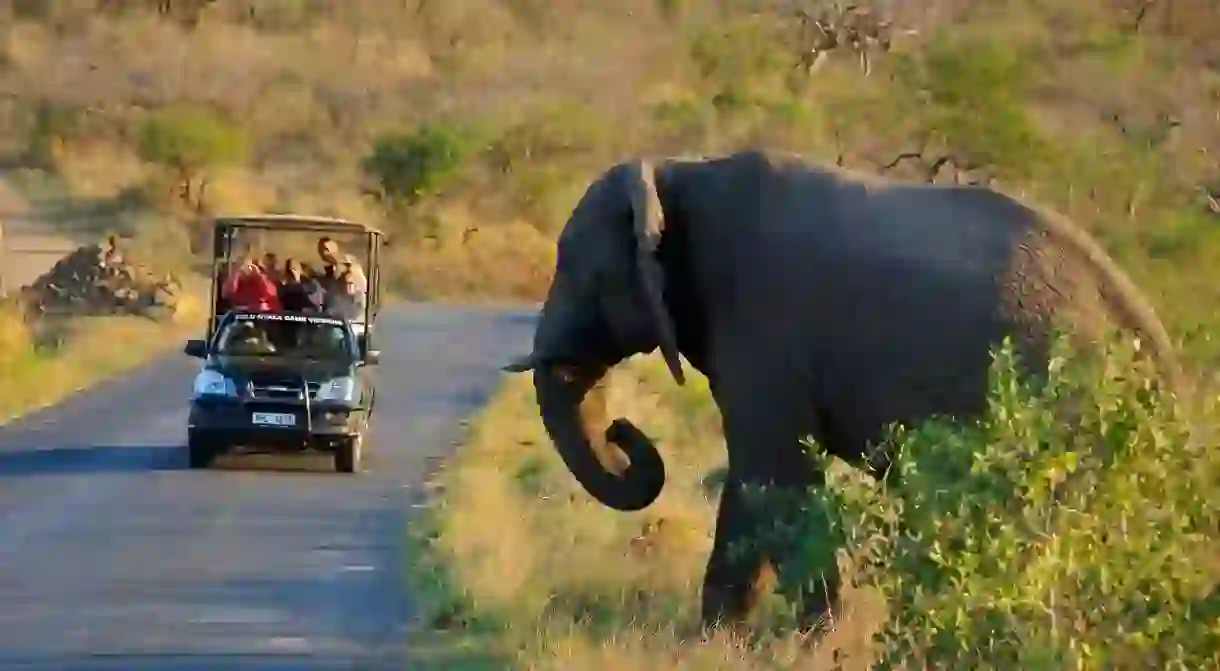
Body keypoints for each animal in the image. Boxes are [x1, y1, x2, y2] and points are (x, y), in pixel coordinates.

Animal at [505, 148, 1180, 634]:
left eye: (582, 272)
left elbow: (772, 476)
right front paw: (722, 642)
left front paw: (804, 641)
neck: (677, 173)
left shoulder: (765, 323)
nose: (622, 432)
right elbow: (759, 483)